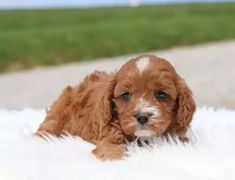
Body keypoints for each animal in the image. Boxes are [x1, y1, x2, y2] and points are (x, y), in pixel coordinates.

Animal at [36, 54, 196, 160]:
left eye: (161, 94)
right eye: (126, 95)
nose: (142, 117)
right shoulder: (107, 135)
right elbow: (111, 149)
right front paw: (118, 158)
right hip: (59, 111)